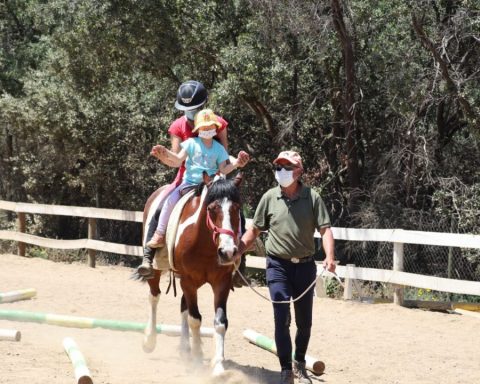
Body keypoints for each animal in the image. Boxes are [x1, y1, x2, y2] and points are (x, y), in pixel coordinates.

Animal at [141, 173, 242, 376]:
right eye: (211, 208)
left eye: (236, 208)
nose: (228, 252)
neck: (204, 242)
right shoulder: (188, 281)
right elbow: (195, 319)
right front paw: (196, 359)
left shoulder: (222, 282)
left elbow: (220, 322)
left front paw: (218, 366)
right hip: (157, 269)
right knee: (154, 297)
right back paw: (150, 340)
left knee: (183, 306)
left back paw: (185, 349)